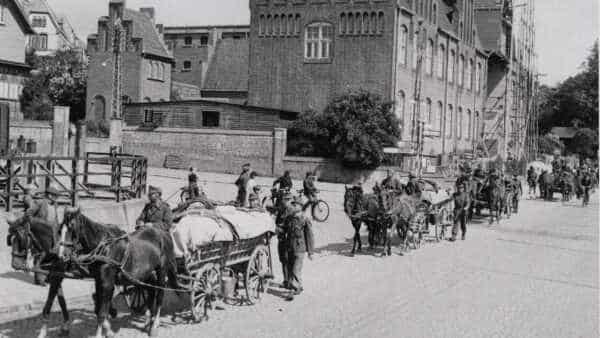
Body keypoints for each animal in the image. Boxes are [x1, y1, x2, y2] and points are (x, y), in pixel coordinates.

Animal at [57, 209, 179, 338]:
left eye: (72, 227)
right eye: (60, 230)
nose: (62, 256)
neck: (104, 247)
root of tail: (164, 234)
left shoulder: (107, 282)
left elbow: (102, 312)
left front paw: (100, 333)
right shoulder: (98, 280)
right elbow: (98, 307)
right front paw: (108, 330)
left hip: (161, 271)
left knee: (160, 295)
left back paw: (155, 324)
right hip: (147, 274)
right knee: (150, 294)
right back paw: (148, 322)